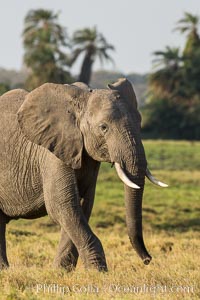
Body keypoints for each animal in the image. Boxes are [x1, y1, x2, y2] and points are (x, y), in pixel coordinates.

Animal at [0, 78, 166, 270]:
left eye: (139, 123)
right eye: (103, 127)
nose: (148, 260)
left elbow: (82, 205)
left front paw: (61, 271)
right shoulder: (52, 152)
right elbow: (61, 205)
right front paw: (98, 271)